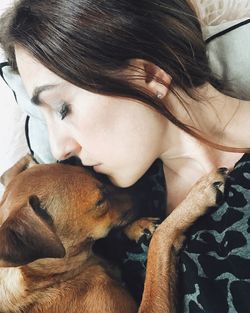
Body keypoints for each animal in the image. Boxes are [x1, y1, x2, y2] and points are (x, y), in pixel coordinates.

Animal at [0, 154, 228, 312]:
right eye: (100, 201)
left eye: (93, 173)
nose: (147, 191)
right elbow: (158, 244)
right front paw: (197, 197)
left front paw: (139, 227)